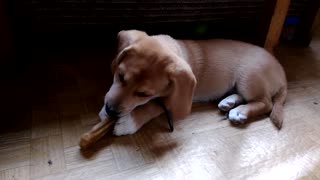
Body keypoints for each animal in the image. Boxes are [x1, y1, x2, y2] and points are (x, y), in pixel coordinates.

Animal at [98, 29, 288, 135]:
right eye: (120, 76)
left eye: (144, 94)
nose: (111, 110)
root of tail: (282, 72)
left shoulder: (174, 100)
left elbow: (152, 107)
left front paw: (129, 123)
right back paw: (229, 102)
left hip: (248, 77)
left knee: (266, 103)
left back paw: (240, 111)